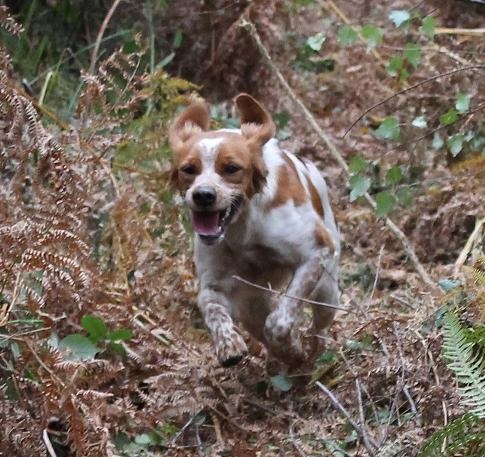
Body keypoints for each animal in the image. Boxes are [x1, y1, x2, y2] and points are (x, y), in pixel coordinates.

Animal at [168, 93, 338, 366]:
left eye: (231, 168)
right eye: (188, 169)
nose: (203, 195)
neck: (244, 227)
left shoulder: (316, 252)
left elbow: (279, 321)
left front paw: (290, 348)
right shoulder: (214, 283)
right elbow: (212, 309)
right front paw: (229, 344)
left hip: (326, 291)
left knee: (318, 329)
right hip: (251, 305)